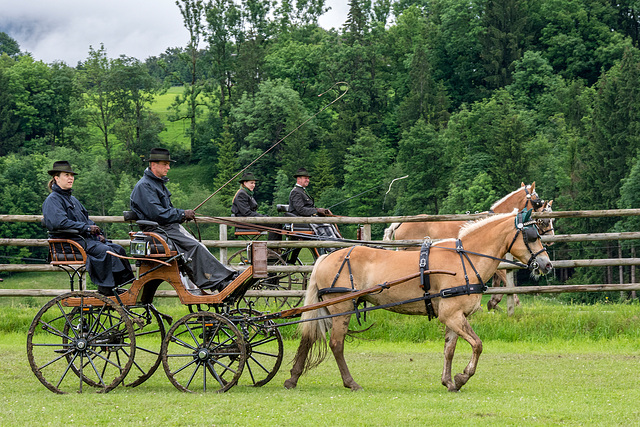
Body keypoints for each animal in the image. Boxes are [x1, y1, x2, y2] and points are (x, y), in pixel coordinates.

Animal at [282, 209, 552, 392]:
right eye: (532, 235)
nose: (546, 264)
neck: (464, 259)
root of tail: (325, 258)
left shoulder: (455, 317)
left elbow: (449, 350)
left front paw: (449, 381)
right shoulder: (452, 315)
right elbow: (477, 345)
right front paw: (463, 377)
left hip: (327, 308)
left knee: (309, 337)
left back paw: (293, 378)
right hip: (342, 307)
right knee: (336, 344)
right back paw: (351, 382)